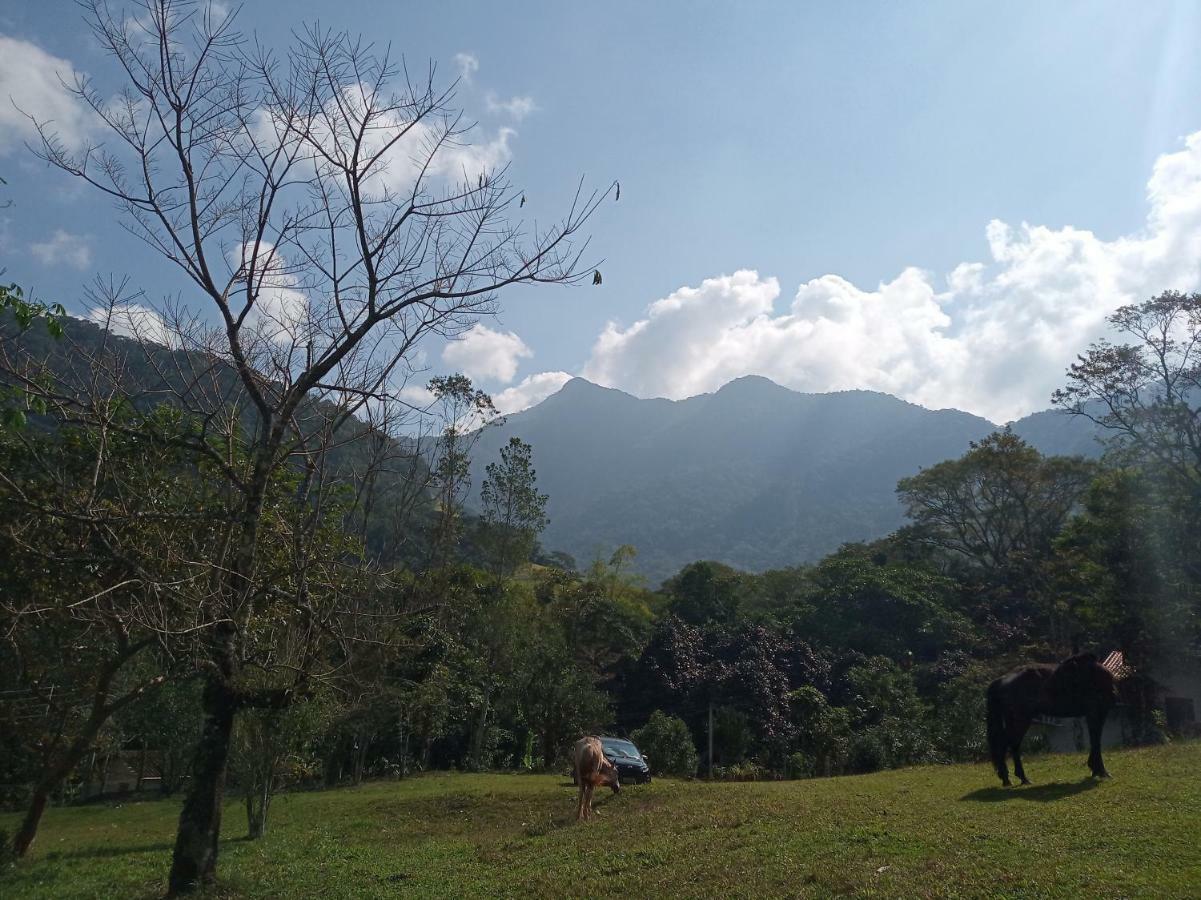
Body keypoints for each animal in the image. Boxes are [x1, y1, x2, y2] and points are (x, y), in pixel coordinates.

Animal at [984, 653, 1114, 788]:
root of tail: (1001, 680)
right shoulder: (1097, 711)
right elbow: (1096, 741)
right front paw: (1101, 771)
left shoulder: (1095, 713)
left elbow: (1095, 740)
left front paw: (1095, 769)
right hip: (1021, 720)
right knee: (1009, 744)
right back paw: (1012, 778)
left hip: (1013, 720)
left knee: (1011, 744)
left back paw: (1017, 779)